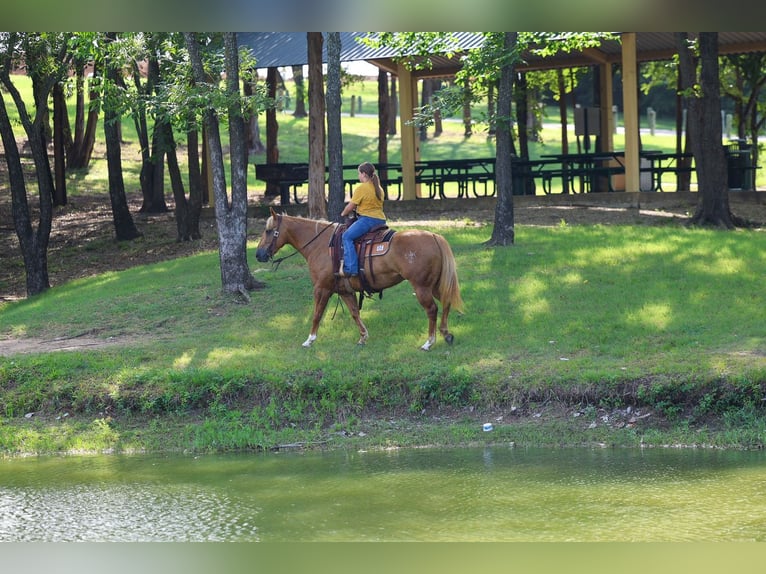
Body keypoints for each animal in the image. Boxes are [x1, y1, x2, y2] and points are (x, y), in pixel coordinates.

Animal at [255, 208, 464, 350]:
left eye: (268, 231)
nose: (259, 254)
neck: (320, 245)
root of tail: (434, 236)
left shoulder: (322, 288)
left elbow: (317, 314)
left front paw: (310, 340)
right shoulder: (344, 290)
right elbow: (355, 313)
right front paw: (363, 337)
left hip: (421, 287)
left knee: (432, 309)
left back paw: (429, 342)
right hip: (434, 284)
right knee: (446, 302)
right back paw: (446, 334)